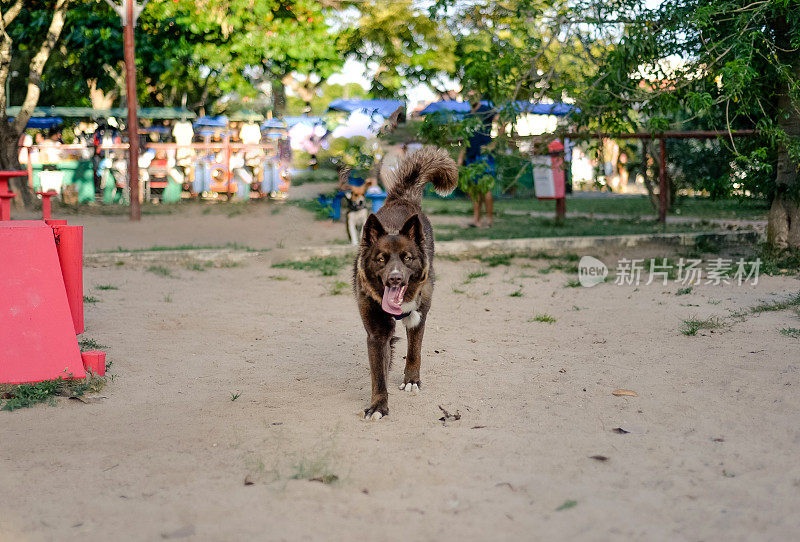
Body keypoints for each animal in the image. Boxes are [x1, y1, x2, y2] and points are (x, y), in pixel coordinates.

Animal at [354, 146, 460, 420]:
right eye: (381, 258)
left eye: (407, 258)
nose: (395, 278)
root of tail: (403, 199)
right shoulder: (376, 333)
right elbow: (378, 374)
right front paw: (378, 406)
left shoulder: (418, 317)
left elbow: (414, 351)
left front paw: (411, 380)